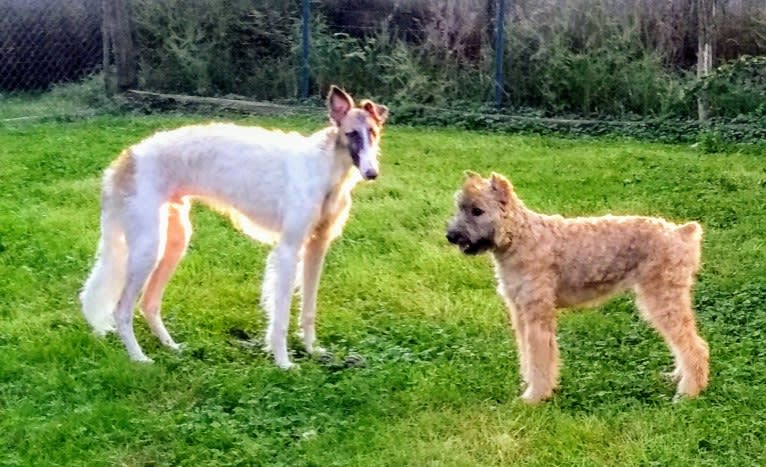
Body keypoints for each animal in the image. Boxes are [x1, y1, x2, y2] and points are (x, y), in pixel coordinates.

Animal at [80, 86, 390, 368]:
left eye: (373, 132)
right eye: (351, 134)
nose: (372, 173)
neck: (324, 167)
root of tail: (127, 158)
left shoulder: (317, 246)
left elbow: (308, 309)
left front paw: (313, 350)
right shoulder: (289, 249)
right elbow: (281, 315)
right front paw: (283, 361)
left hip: (173, 241)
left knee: (149, 304)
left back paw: (170, 346)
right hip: (148, 248)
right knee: (122, 309)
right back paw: (139, 358)